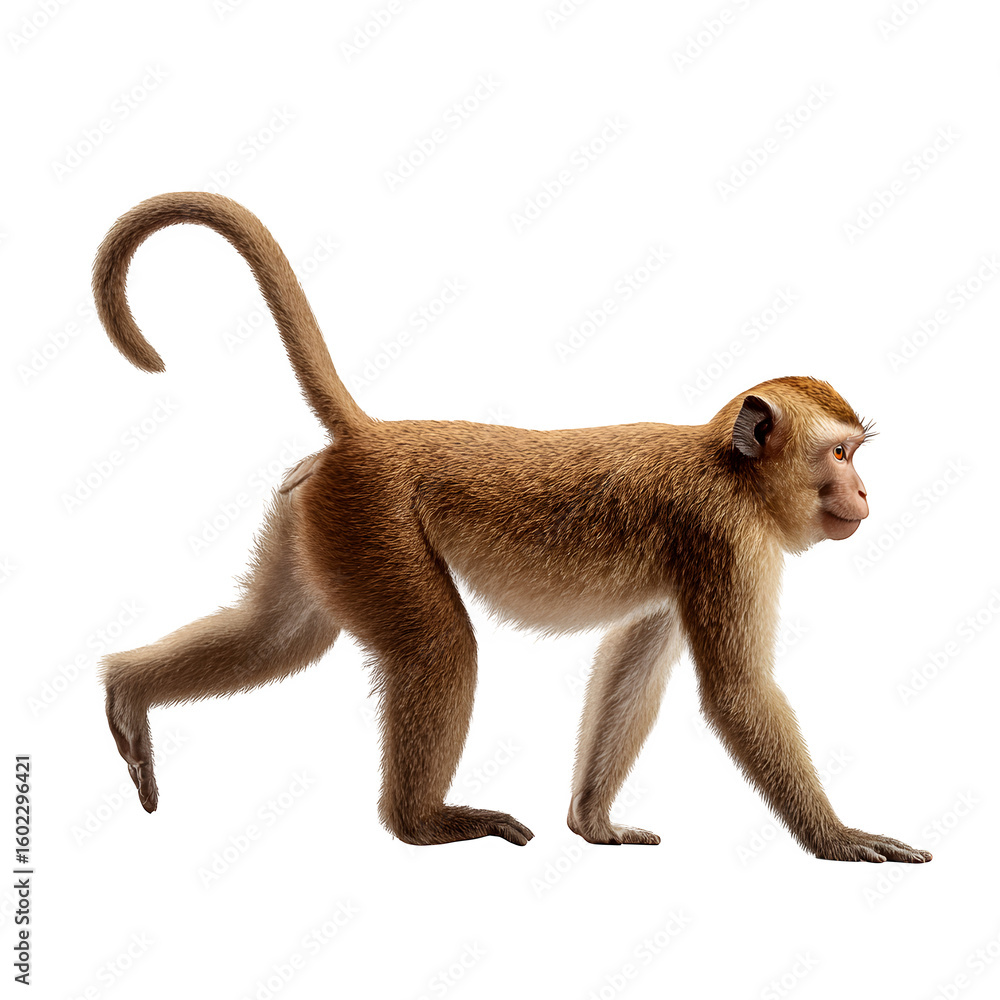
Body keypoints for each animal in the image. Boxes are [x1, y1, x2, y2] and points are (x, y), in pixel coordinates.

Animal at [93, 192, 931, 863]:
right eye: (841, 453)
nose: (863, 491)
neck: (730, 470)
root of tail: (370, 436)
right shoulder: (724, 538)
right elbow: (738, 691)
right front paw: (838, 837)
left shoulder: (698, 559)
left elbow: (634, 662)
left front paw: (593, 823)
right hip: (373, 518)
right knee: (437, 647)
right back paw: (421, 823)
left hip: (318, 514)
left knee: (277, 637)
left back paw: (126, 691)